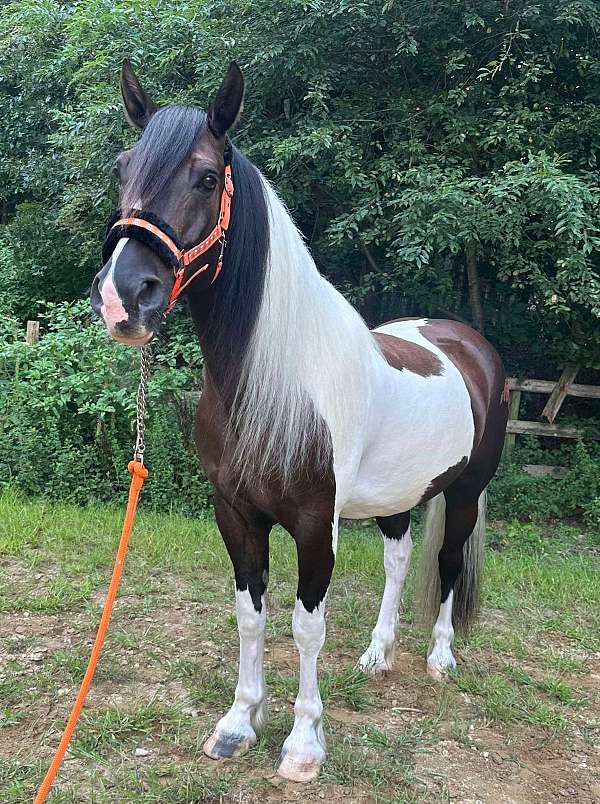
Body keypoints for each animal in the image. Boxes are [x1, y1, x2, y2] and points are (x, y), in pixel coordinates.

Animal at [91, 59, 508, 784]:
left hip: (463, 491)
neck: (271, 382)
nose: (123, 297)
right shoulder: (235, 513)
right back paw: (377, 655)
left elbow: (306, 625)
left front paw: (303, 744)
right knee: (400, 559)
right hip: (398, 496)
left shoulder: (316, 523)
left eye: (207, 176)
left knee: (449, 562)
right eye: (123, 168)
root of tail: (468, 343)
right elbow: (250, 616)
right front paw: (237, 724)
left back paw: (439, 658)